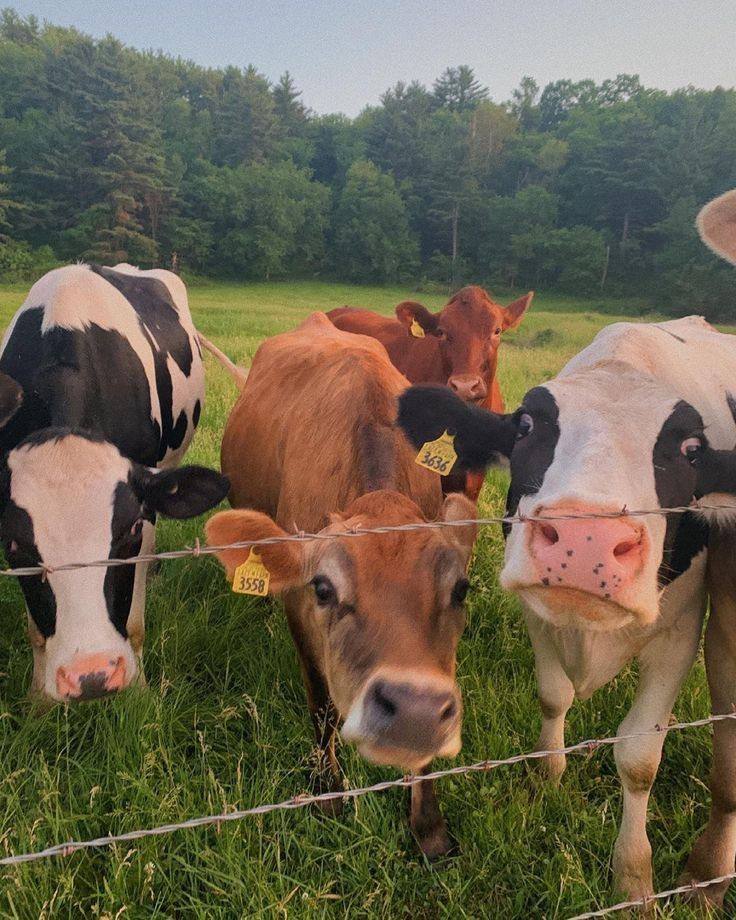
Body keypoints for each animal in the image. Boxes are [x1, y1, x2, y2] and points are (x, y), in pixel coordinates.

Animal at [0, 266, 229, 704]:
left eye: (130, 530)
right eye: (14, 546)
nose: (91, 675)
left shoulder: (147, 497)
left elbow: (135, 620)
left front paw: (139, 691)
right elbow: (37, 631)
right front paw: (39, 701)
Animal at [204, 312, 516, 860]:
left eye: (460, 589)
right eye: (323, 589)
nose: (412, 712)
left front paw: (429, 826)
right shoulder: (301, 615)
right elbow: (323, 707)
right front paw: (328, 792)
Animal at [396, 280, 736, 900]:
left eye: (691, 451)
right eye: (527, 427)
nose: (587, 537)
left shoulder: (681, 630)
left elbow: (639, 756)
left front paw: (633, 877)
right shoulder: (538, 610)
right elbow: (553, 695)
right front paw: (547, 777)